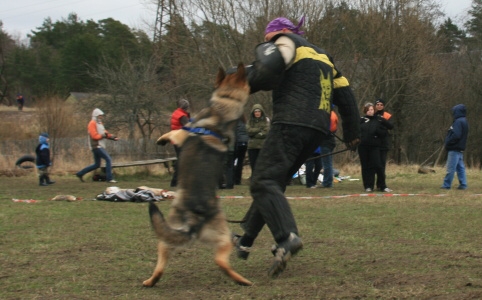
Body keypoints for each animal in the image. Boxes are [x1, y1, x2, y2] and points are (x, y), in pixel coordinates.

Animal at [142, 63, 252, 286]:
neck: (225, 103)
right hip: (180, 237)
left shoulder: (182, 133)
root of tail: (195, 217)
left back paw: (242, 280)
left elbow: (171, 133)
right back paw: (150, 281)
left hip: (213, 236)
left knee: (220, 262)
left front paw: (160, 140)